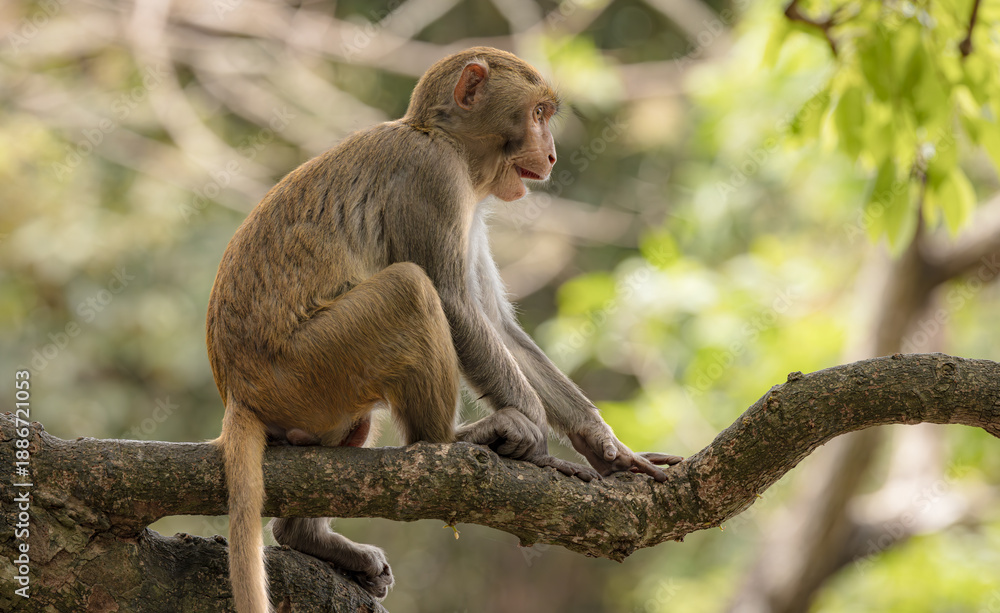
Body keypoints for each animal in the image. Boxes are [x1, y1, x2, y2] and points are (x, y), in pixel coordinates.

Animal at [206, 47, 681, 613]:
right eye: (538, 114)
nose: (551, 156)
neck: (444, 140)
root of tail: (237, 390)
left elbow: (496, 323)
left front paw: (605, 446)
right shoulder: (433, 178)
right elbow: (454, 303)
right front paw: (538, 437)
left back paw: (306, 536)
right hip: (303, 368)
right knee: (410, 289)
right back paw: (451, 440)